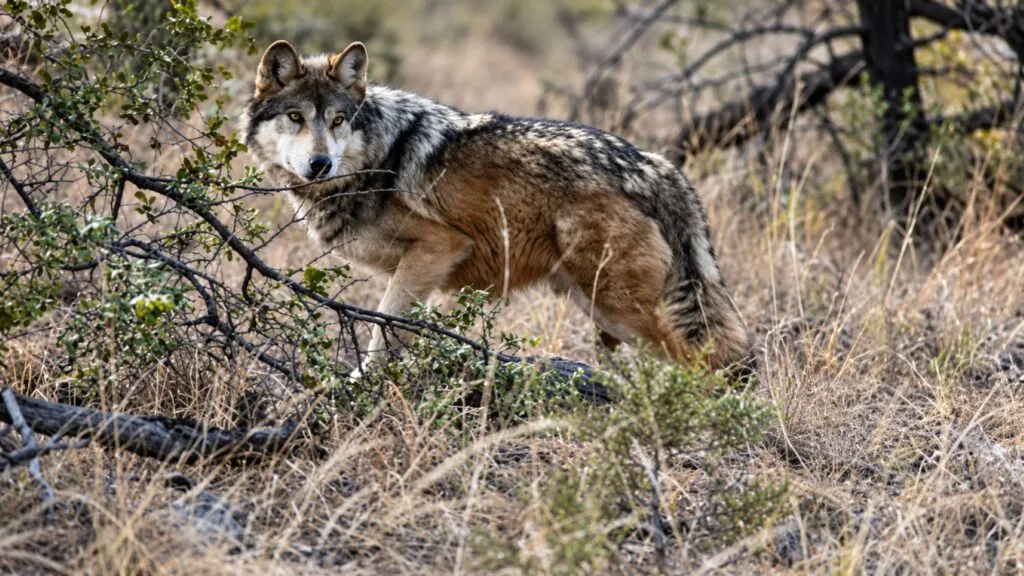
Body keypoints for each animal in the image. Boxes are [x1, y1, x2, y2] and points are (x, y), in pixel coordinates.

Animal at [241, 40, 749, 374]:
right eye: (296, 118)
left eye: (338, 120)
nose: (320, 164)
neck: (374, 160)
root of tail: (652, 164)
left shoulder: (439, 248)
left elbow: (381, 335)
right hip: (597, 307)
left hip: (616, 306)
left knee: (701, 365)